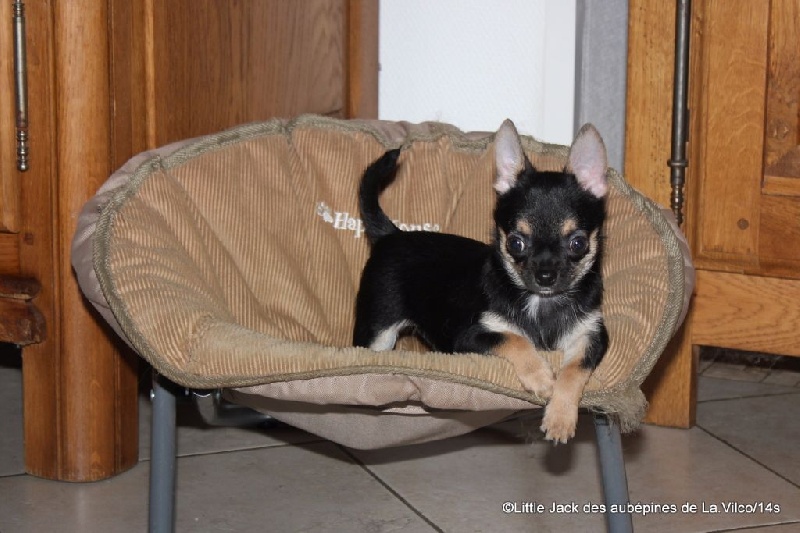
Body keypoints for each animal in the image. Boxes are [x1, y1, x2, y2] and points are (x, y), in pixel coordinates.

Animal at [353, 119, 609, 443]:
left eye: (577, 243)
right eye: (515, 243)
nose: (545, 275)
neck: (541, 304)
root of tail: (392, 235)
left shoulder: (591, 337)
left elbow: (574, 370)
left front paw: (560, 418)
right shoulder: (471, 335)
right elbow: (516, 339)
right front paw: (540, 376)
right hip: (377, 334)